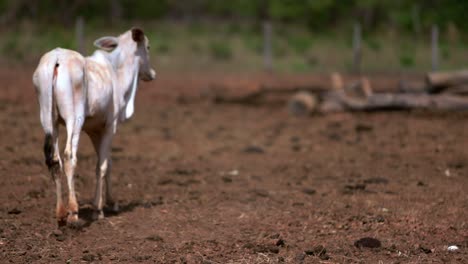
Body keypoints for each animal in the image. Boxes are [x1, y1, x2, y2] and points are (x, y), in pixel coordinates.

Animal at [33, 28, 157, 227]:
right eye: (148, 47)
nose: (152, 74)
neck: (115, 72)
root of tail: (56, 58)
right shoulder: (109, 127)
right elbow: (103, 165)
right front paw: (97, 210)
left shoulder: (93, 130)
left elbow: (107, 162)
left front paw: (112, 203)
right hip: (74, 119)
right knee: (69, 156)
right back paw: (73, 212)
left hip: (49, 120)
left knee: (54, 159)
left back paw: (60, 214)